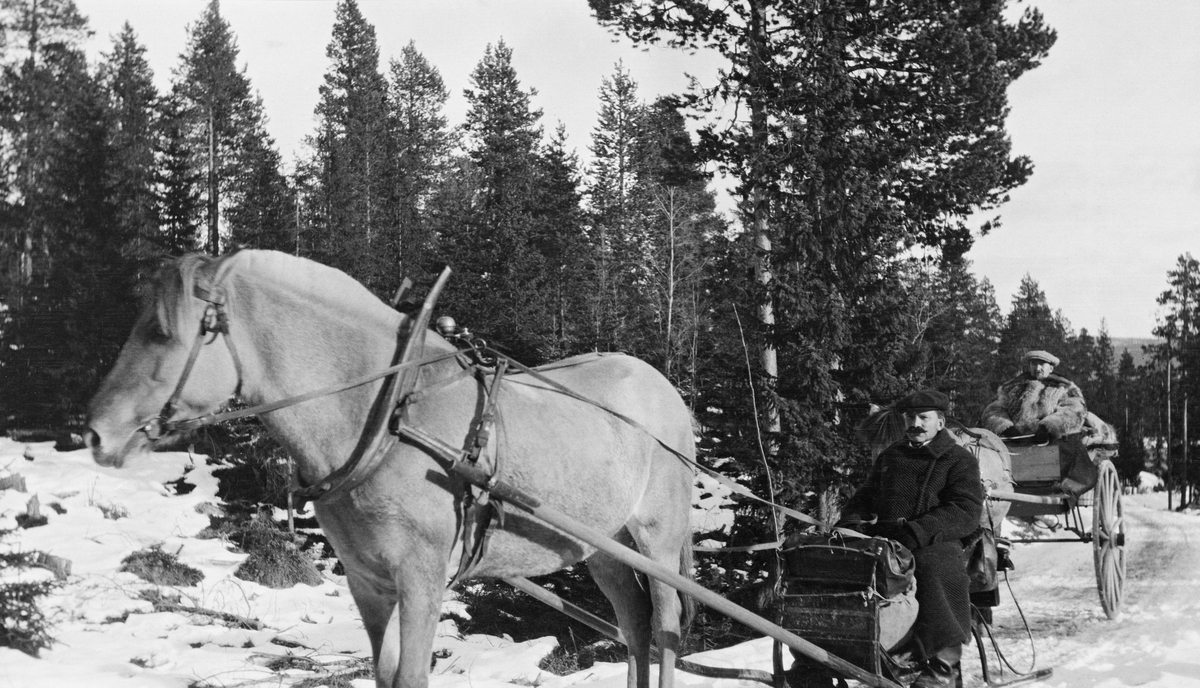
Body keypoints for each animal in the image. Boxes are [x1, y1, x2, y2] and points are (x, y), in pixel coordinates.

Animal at [84, 250, 696, 686]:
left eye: (161, 332)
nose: (95, 433)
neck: (384, 420)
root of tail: (666, 390)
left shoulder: (422, 577)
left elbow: (412, 676)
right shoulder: (367, 580)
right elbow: (384, 672)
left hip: (658, 541)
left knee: (664, 630)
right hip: (603, 548)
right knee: (635, 625)